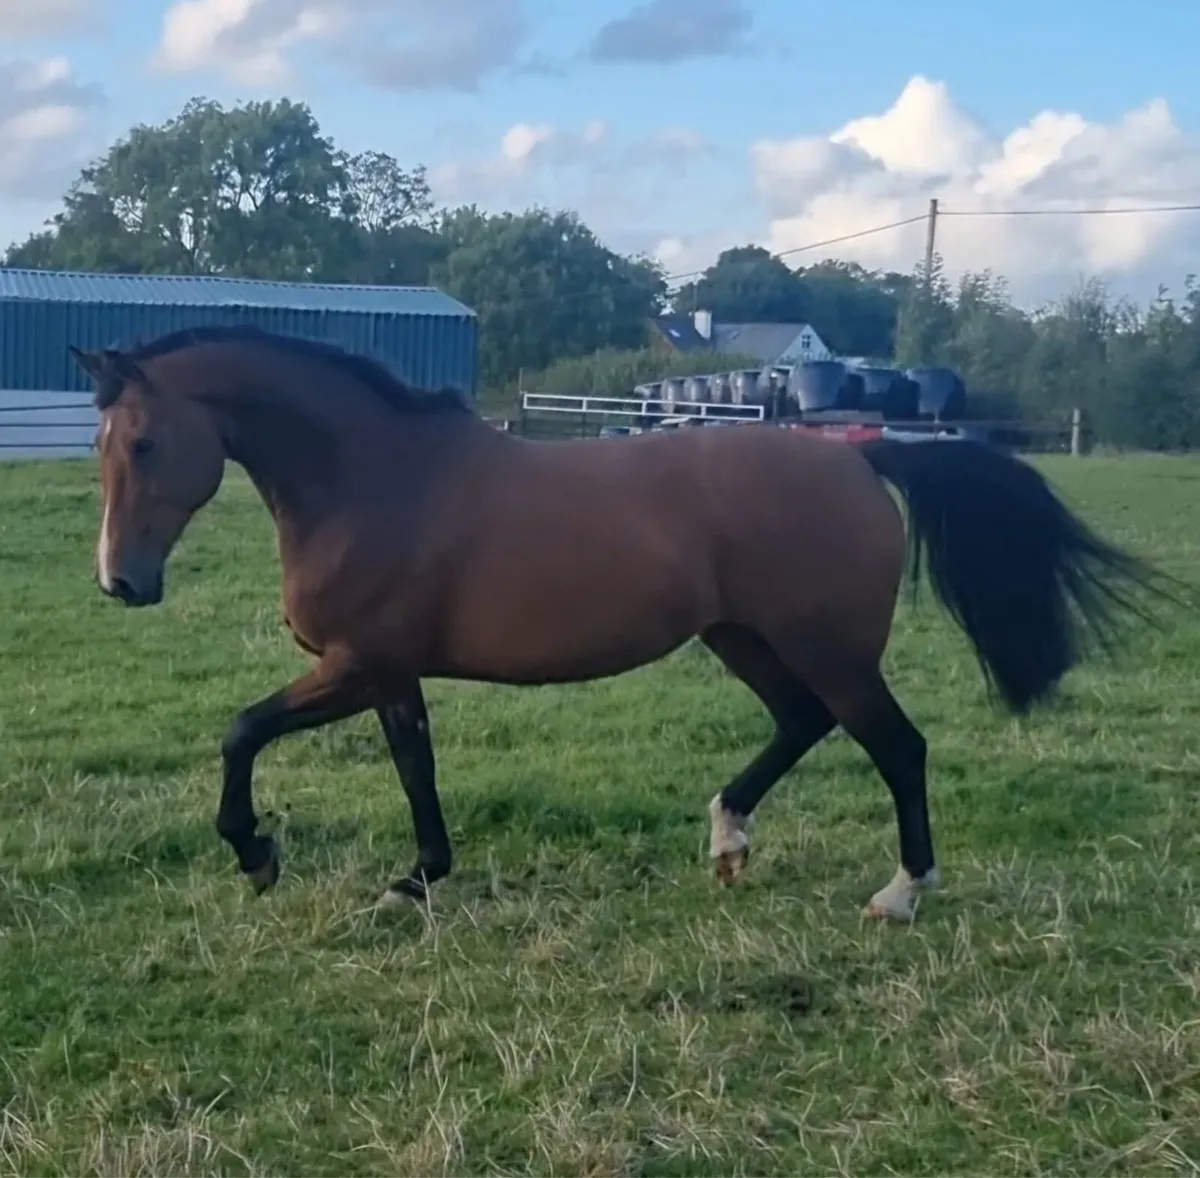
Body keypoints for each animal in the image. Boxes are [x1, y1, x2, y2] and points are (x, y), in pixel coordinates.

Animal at [69, 327, 1168, 921]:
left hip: (831, 649)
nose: (121, 582)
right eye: (101, 443)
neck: (372, 478)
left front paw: (259, 852)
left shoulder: (356, 663)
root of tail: (858, 456)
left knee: (897, 745)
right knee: (802, 723)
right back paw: (727, 837)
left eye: (148, 442)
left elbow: (242, 731)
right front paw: (417, 878)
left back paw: (901, 891)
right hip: (746, 638)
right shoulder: (386, 673)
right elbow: (411, 767)